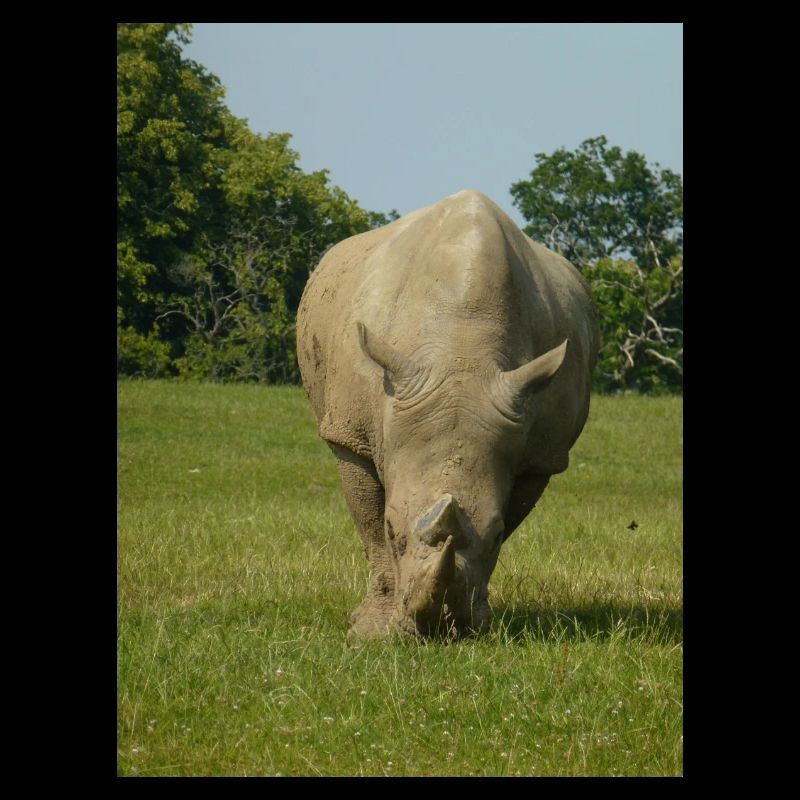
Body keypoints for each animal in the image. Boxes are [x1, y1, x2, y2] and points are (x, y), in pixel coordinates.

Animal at [296, 190, 599, 638]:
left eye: (495, 535)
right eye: (393, 530)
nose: (439, 629)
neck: (460, 345)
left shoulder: (541, 454)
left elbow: (512, 513)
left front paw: (480, 619)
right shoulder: (349, 433)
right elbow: (369, 526)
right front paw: (371, 632)